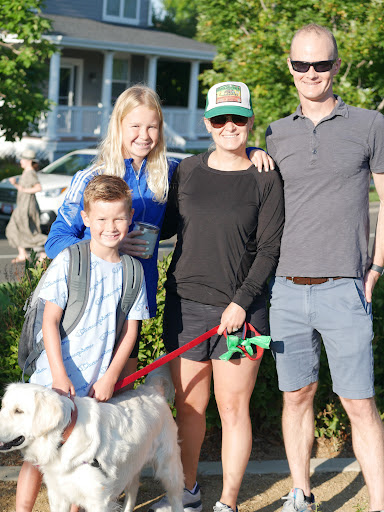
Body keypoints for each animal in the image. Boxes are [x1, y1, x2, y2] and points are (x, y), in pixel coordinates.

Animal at [0, 364, 184, 512]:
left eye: (19, 411)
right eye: (3, 406)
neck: (63, 438)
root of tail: (153, 389)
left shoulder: (98, 500)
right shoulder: (58, 495)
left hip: (168, 467)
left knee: (176, 496)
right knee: (133, 490)